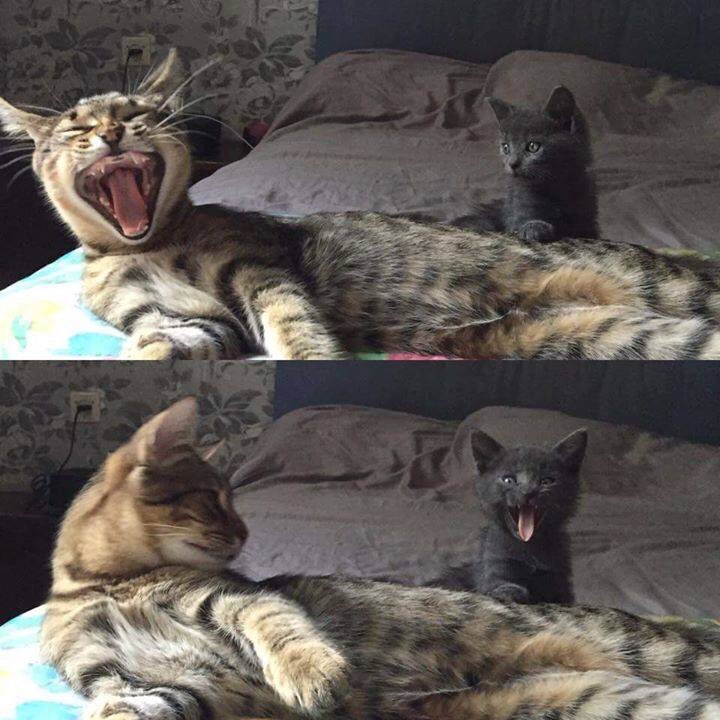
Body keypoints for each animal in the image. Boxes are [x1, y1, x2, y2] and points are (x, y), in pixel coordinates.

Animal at [453, 86, 599, 242]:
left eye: (533, 146)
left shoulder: (588, 217)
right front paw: (534, 227)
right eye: (506, 147)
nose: (512, 163)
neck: (555, 187)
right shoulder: (518, 205)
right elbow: (522, 222)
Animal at [470, 428, 586, 604]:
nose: (528, 491)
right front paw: (510, 591)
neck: (530, 548)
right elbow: (497, 585)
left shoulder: (561, 579)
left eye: (546, 481)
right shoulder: (494, 564)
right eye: (508, 480)